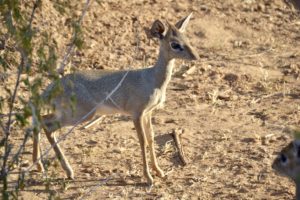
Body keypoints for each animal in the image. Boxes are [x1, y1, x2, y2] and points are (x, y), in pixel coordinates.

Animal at [34, 12, 199, 186]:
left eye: (187, 39)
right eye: (175, 44)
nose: (195, 56)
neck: (152, 79)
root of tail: (52, 87)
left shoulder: (148, 113)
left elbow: (151, 138)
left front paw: (159, 171)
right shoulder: (137, 114)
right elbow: (142, 141)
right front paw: (148, 177)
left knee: (40, 120)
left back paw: (39, 166)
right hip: (82, 115)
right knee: (47, 125)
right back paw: (68, 171)